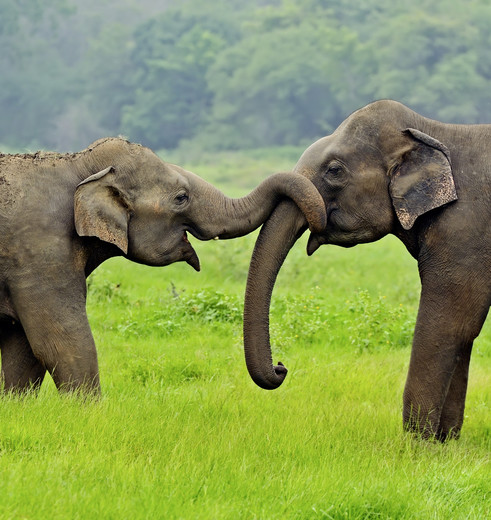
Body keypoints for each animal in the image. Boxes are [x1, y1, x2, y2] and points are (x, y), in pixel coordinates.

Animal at [0, 137, 326, 394]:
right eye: (181, 197)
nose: (282, 366)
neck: (77, 164)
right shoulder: (39, 251)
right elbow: (60, 342)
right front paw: (90, 414)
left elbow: (23, 350)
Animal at [243, 99, 491, 440]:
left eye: (334, 171)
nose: (281, 367)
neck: (433, 131)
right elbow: (464, 333)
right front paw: (445, 444)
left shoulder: (465, 233)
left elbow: (451, 324)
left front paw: (418, 446)